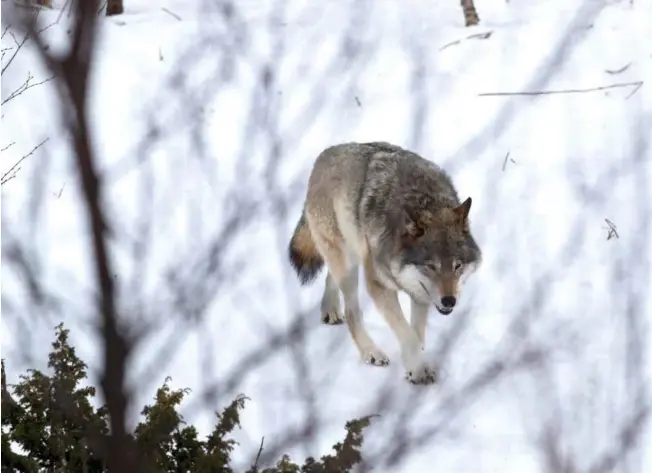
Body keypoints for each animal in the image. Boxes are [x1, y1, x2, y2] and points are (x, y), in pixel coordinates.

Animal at [288, 141, 482, 384]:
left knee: (330, 276)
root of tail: (323, 155)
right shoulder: (379, 286)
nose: (449, 301)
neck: (424, 200)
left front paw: (413, 366)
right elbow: (407, 333)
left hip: (352, 255)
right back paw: (371, 352)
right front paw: (418, 369)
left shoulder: (420, 295)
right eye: (431, 266)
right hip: (349, 266)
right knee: (351, 312)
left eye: (457, 265)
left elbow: (416, 333)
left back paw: (330, 310)